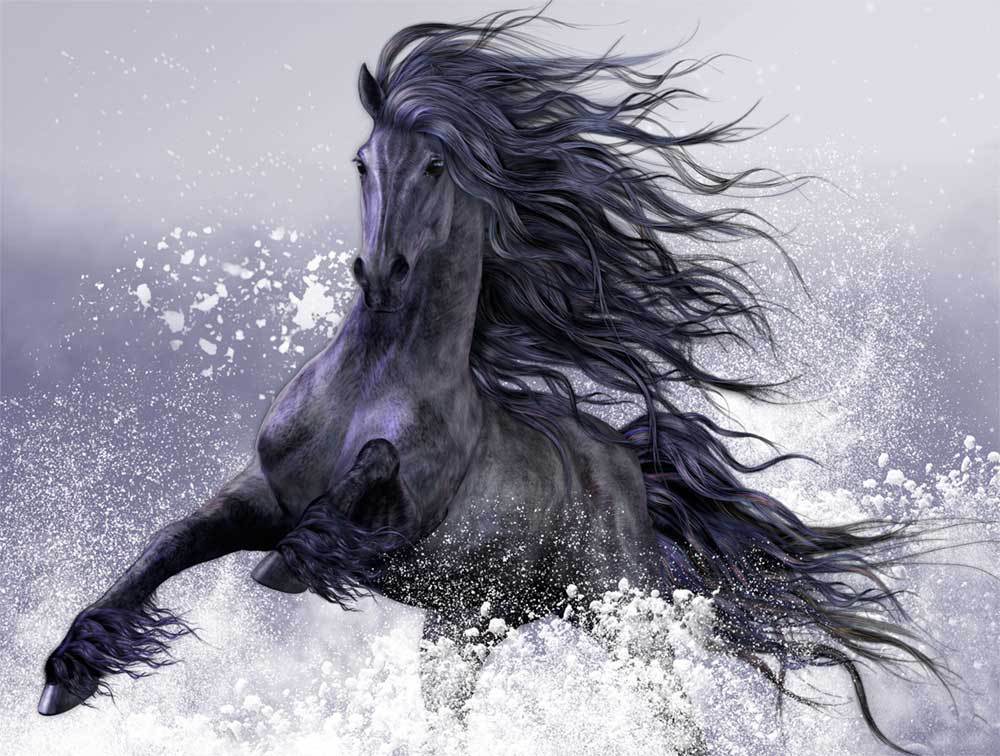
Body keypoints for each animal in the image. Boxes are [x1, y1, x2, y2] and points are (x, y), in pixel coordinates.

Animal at [38, 9, 946, 753]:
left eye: (436, 165)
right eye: (362, 161)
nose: (381, 273)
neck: (370, 382)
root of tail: (627, 461)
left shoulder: (399, 521)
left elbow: (365, 481)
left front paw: (291, 563)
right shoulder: (259, 494)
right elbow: (161, 549)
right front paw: (66, 673)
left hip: (600, 613)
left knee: (666, 713)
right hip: (475, 622)